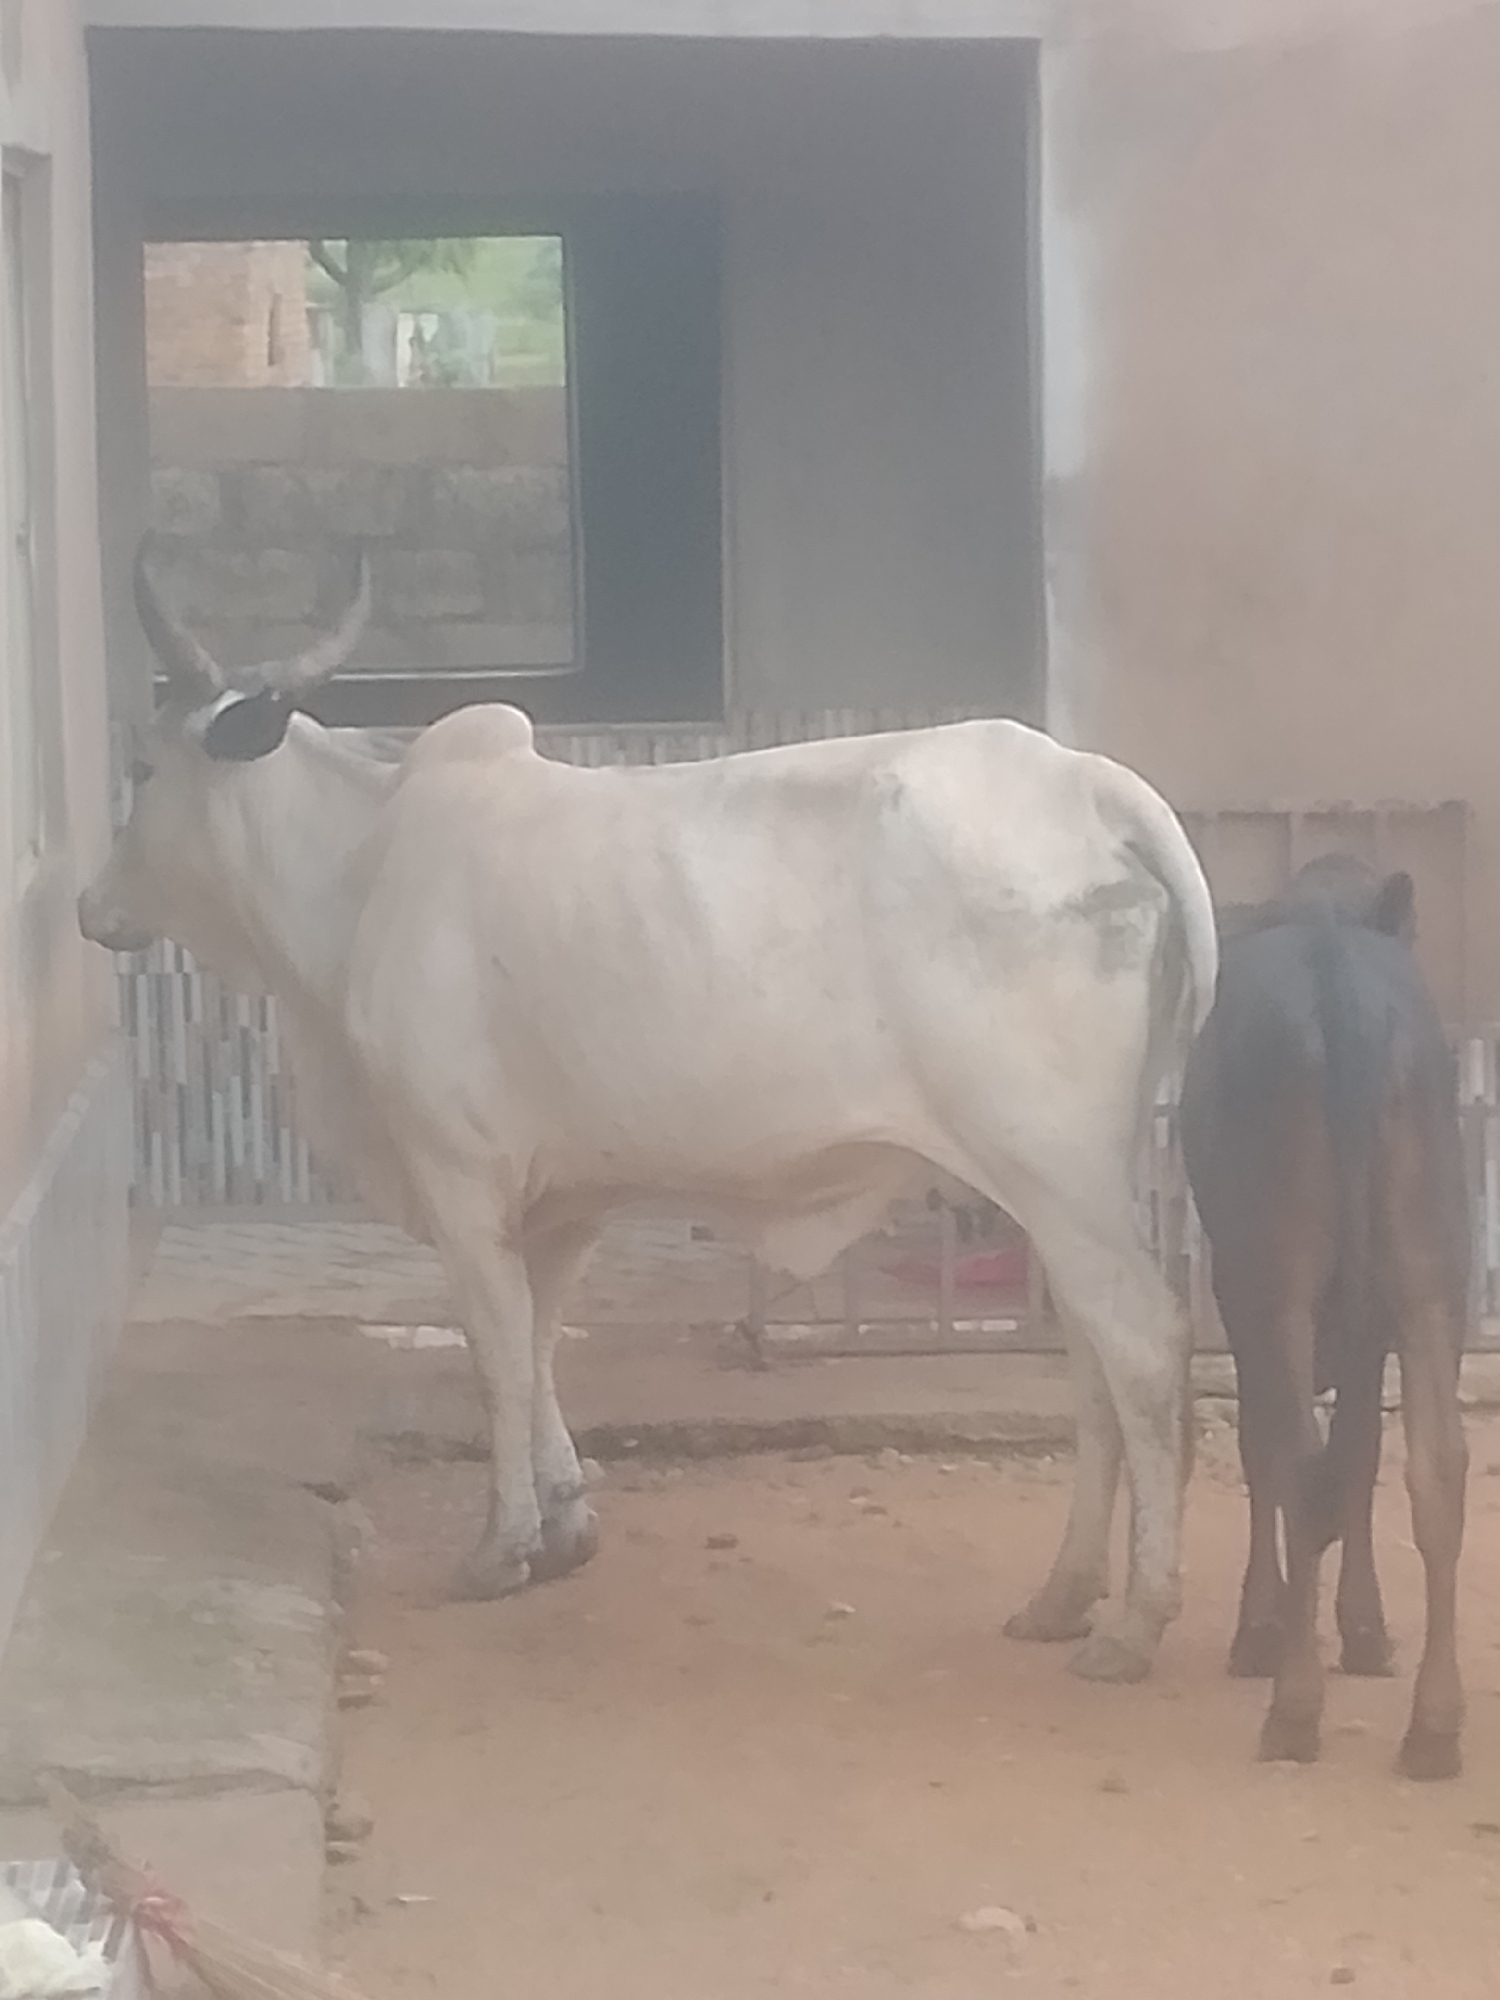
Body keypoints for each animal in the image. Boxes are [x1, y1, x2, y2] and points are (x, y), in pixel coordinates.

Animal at [79, 541, 1218, 1684]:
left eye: (145, 768)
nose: (92, 909)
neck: (358, 868)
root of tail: (1088, 782)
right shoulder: (563, 1197)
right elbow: (538, 1341)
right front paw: (565, 1524)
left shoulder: (458, 1171)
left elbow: (497, 1353)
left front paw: (501, 1546)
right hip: (1063, 1183)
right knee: (1090, 1359)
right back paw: (1063, 1594)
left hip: (1051, 1167)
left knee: (1142, 1341)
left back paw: (1135, 1620)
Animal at [1179, 855, 1469, 1777]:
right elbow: (1365, 1449)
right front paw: (1367, 1629)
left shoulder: (1242, 1298)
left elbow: (1272, 1449)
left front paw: (1261, 1628)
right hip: (1429, 1273)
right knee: (1435, 1467)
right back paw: (1433, 1729)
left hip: (1278, 1280)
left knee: (1296, 1457)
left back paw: (1293, 1707)